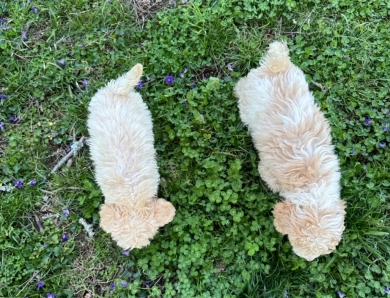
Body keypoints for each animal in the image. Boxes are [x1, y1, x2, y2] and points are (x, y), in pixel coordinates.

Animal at [233, 41, 346, 260]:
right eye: (296, 244)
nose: (308, 260)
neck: (313, 182)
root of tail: (277, 65)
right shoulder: (268, 171)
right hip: (249, 97)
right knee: (242, 88)